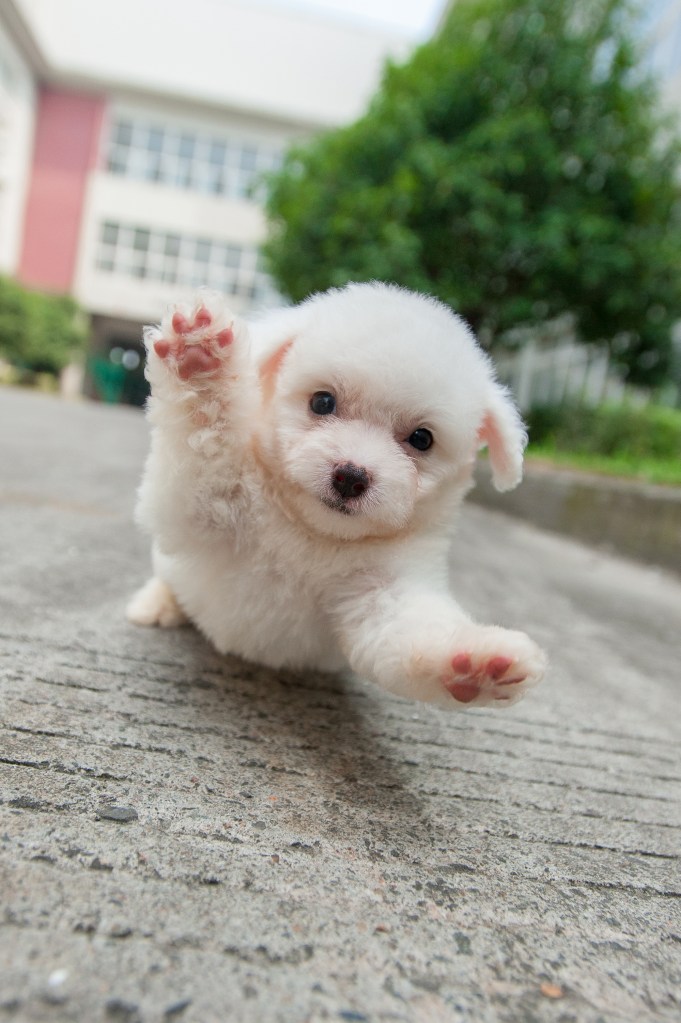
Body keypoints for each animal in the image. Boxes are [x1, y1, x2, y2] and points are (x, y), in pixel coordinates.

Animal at [125, 284, 548, 707]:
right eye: (322, 401)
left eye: (421, 439)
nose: (351, 476)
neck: (315, 535)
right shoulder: (209, 505)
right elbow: (205, 440)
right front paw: (199, 357)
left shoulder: (383, 593)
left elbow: (408, 632)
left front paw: (475, 662)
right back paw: (158, 603)